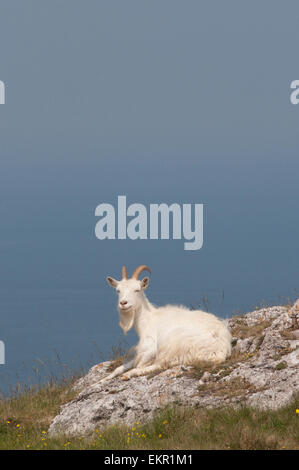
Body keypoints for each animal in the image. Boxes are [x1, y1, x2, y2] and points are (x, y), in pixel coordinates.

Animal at [102, 266, 232, 380]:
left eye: (137, 289)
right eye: (118, 290)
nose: (123, 303)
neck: (149, 319)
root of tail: (221, 350)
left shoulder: (151, 348)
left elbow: (140, 364)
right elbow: (119, 368)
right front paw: (101, 381)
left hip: (172, 341)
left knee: (159, 364)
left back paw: (128, 374)